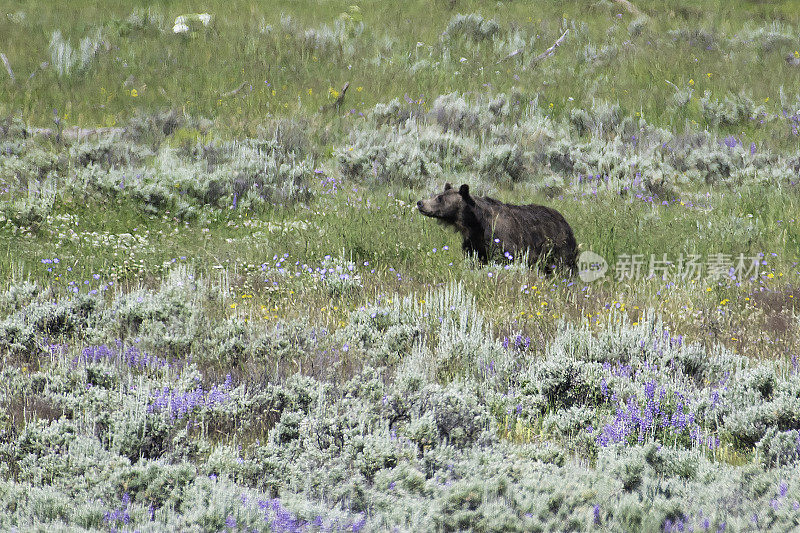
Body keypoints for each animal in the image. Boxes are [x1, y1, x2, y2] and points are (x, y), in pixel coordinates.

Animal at [416, 183, 580, 274]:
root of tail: (564, 221)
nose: (420, 203)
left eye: (439, 198)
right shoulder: (475, 243)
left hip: (559, 246)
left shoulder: (502, 239)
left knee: (566, 266)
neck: (475, 224)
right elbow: (475, 259)